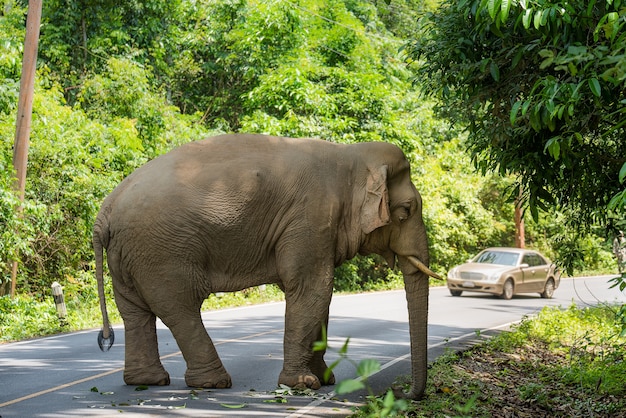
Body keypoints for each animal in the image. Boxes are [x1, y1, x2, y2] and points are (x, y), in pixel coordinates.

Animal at [94, 133, 438, 398]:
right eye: (406, 211)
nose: (400, 391)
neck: (350, 154)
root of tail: (105, 211)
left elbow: (318, 297)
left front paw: (325, 380)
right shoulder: (310, 218)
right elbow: (313, 289)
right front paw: (303, 384)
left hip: (128, 256)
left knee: (136, 313)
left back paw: (147, 381)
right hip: (162, 253)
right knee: (180, 308)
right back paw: (214, 383)